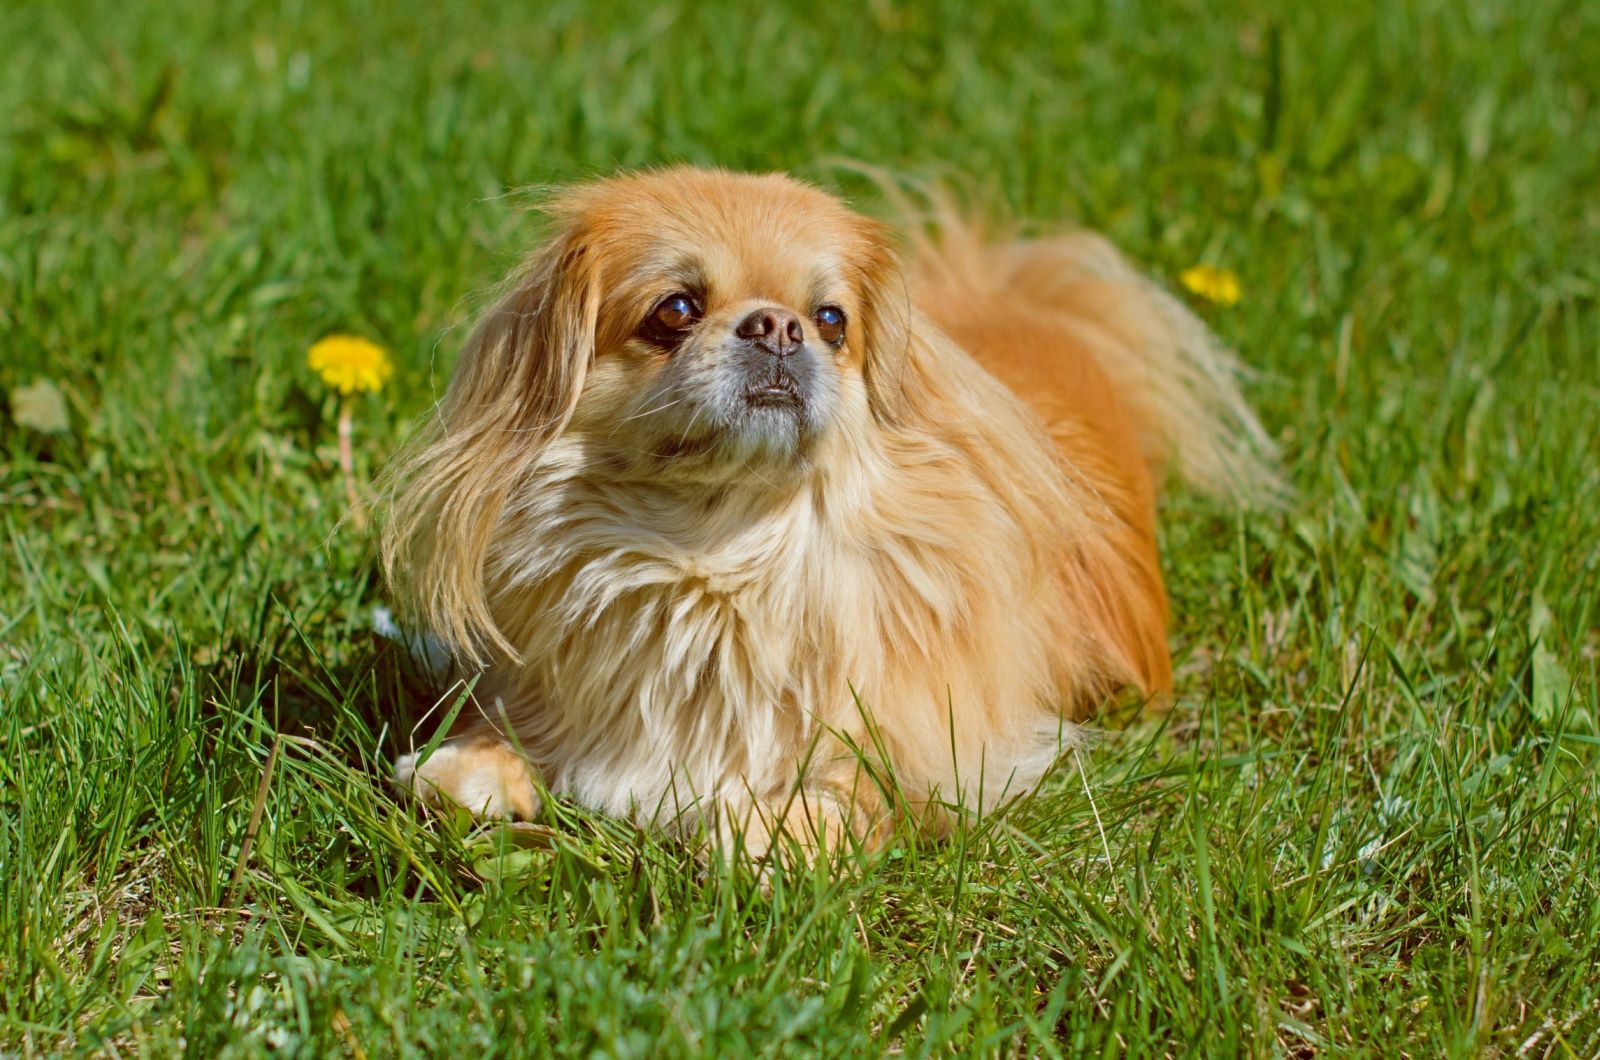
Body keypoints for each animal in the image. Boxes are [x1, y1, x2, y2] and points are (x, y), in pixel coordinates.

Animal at [380, 168, 1280, 864]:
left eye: (831, 320)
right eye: (675, 310)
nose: (777, 325)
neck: (716, 554)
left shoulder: (951, 759)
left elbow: (853, 791)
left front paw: (768, 830)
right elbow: (484, 752)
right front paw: (477, 767)